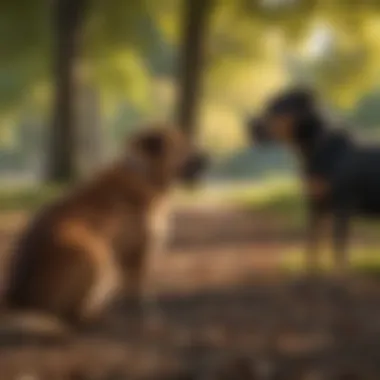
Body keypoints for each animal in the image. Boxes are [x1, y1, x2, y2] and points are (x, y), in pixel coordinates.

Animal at [248, 89, 380, 278]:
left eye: (276, 108)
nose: (249, 125)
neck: (316, 147)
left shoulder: (342, 206)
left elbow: (338, 246)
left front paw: (339, 276)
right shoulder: (316, 204)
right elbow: (313, 243)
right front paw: (311, 273)